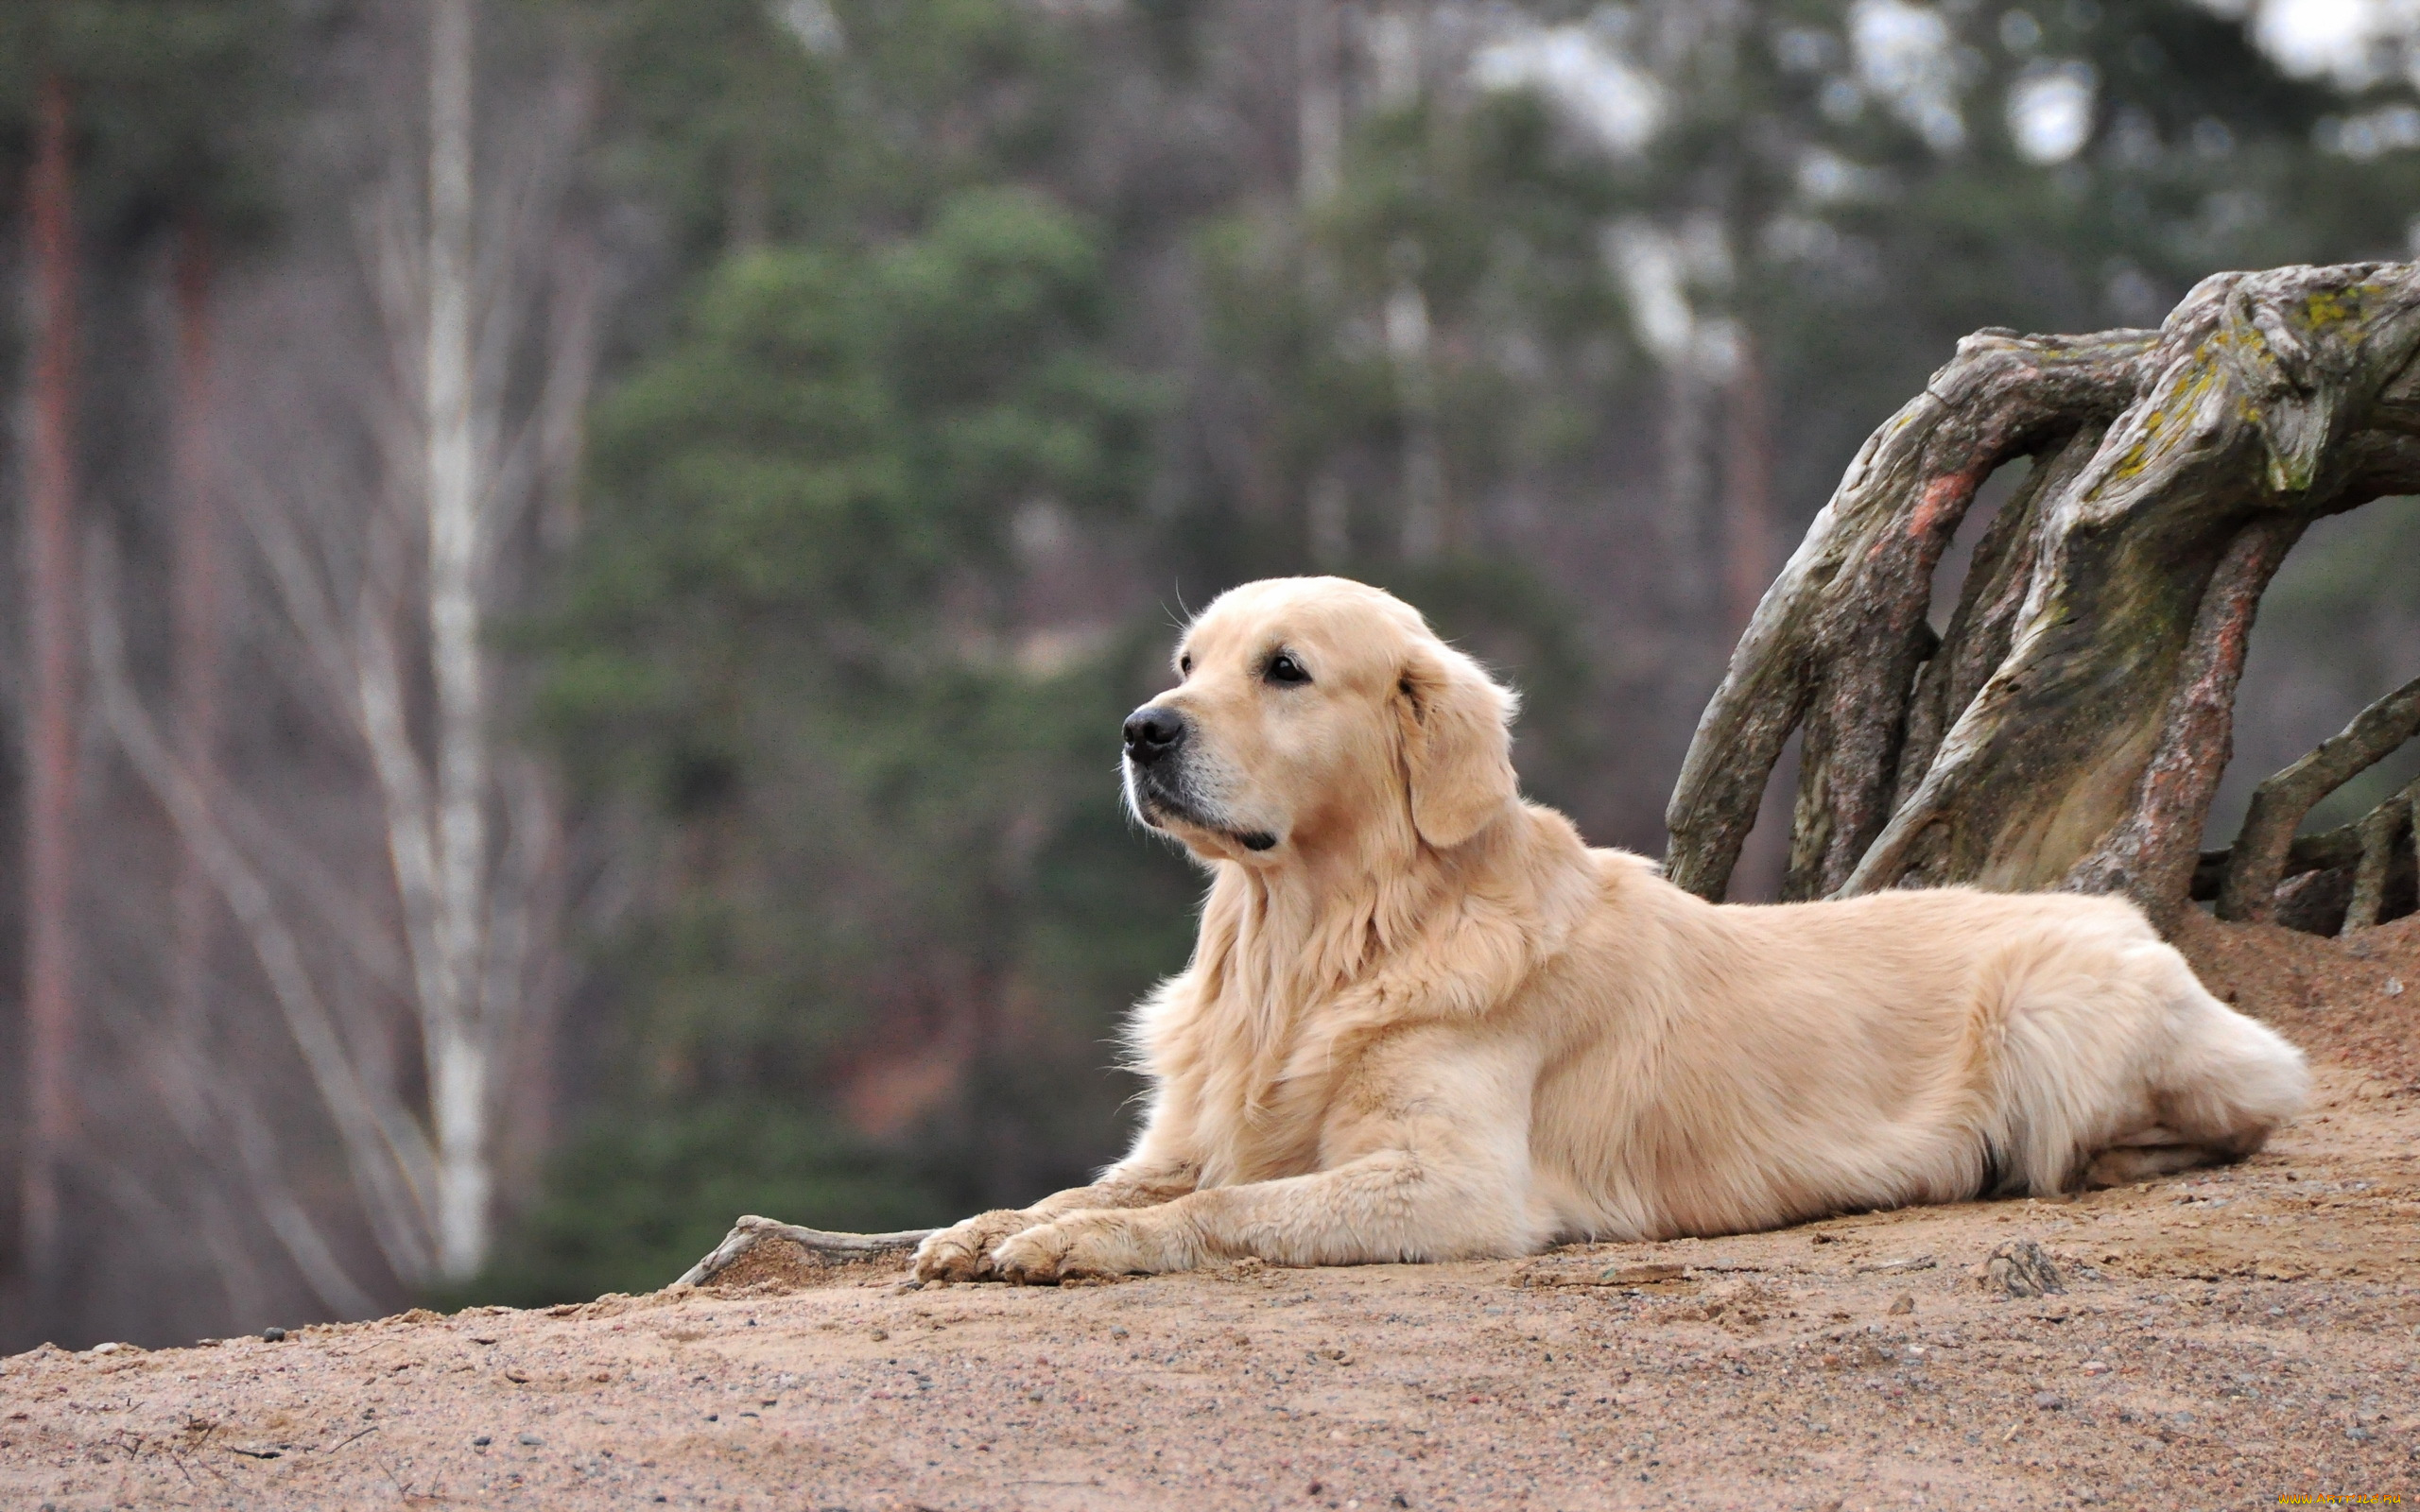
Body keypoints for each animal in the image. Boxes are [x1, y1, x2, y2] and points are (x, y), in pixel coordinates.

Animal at [909, 571, 2304, 1277]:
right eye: (1190, 664)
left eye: (1286, 670)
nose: (1142, 731)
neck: (1323, 939)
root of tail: (2127, 913)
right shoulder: (1194, 1127)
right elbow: (1097, 1182)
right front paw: (989, 1228)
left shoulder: (1450, 1183)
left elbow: (1224, 1209)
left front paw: (1085, 1242)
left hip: (2052, 1006)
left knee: (2230, 1114)